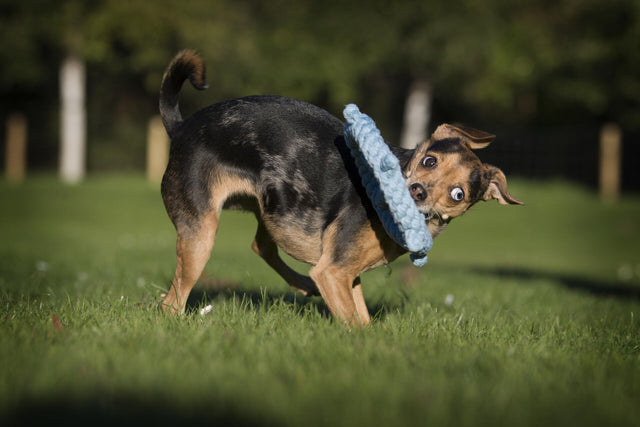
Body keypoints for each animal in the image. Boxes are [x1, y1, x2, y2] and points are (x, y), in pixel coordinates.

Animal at [158, 49, 524, 324]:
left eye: (458, 194)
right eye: (430, 161)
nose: (417, 191)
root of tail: (180, 128)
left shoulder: (346, 272)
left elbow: (362, 316)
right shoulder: (333, 272)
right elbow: (355, 325)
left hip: (273, 208)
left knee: (261, 246)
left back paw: (303, 284)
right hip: (201, 233)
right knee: (171, 301)